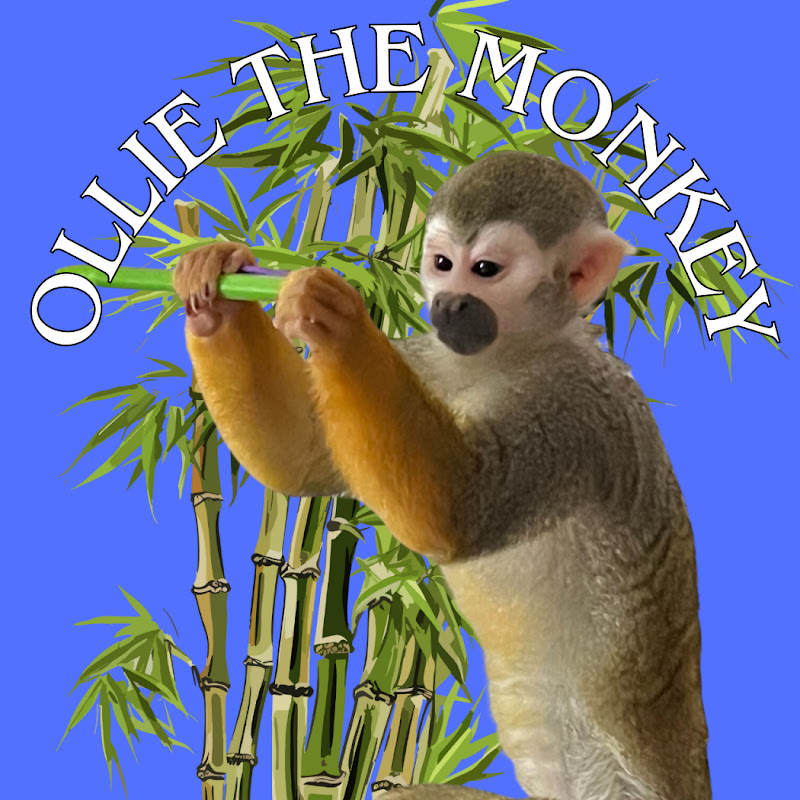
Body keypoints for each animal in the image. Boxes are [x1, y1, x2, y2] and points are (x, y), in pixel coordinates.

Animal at [173, 151, 711, 800]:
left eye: (485, 270)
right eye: (442, 265)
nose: (449, 303)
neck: (506, 357)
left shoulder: (573, 409)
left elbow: (456, 510)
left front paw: (335, 317)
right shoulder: (428, 356)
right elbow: (302, 456)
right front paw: (217, 289)